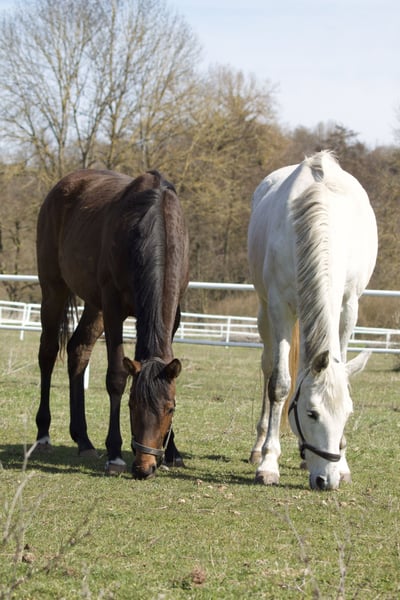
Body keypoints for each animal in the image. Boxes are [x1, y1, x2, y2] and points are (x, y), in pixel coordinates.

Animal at [35, 168, 189, 479]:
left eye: (170, 409)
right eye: (132, 405)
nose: (144, 467)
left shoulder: (174, 313)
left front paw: (173, 451)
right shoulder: (114, 308)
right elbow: (116, 377)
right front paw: (116, 453)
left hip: (94, 306)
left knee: (78, 350)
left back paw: (83, 440)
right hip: (54, 289)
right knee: (47, 353)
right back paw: (43, 435)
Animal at [248, 151, 377, 490]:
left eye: (347, 414)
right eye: (311, 413)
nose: (326, 481)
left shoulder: (348, 306)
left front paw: (342, 464)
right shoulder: (279, 305)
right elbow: (279, 385)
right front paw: (268, 463)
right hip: (264, 312)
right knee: (268, 368)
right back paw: (259, 447)